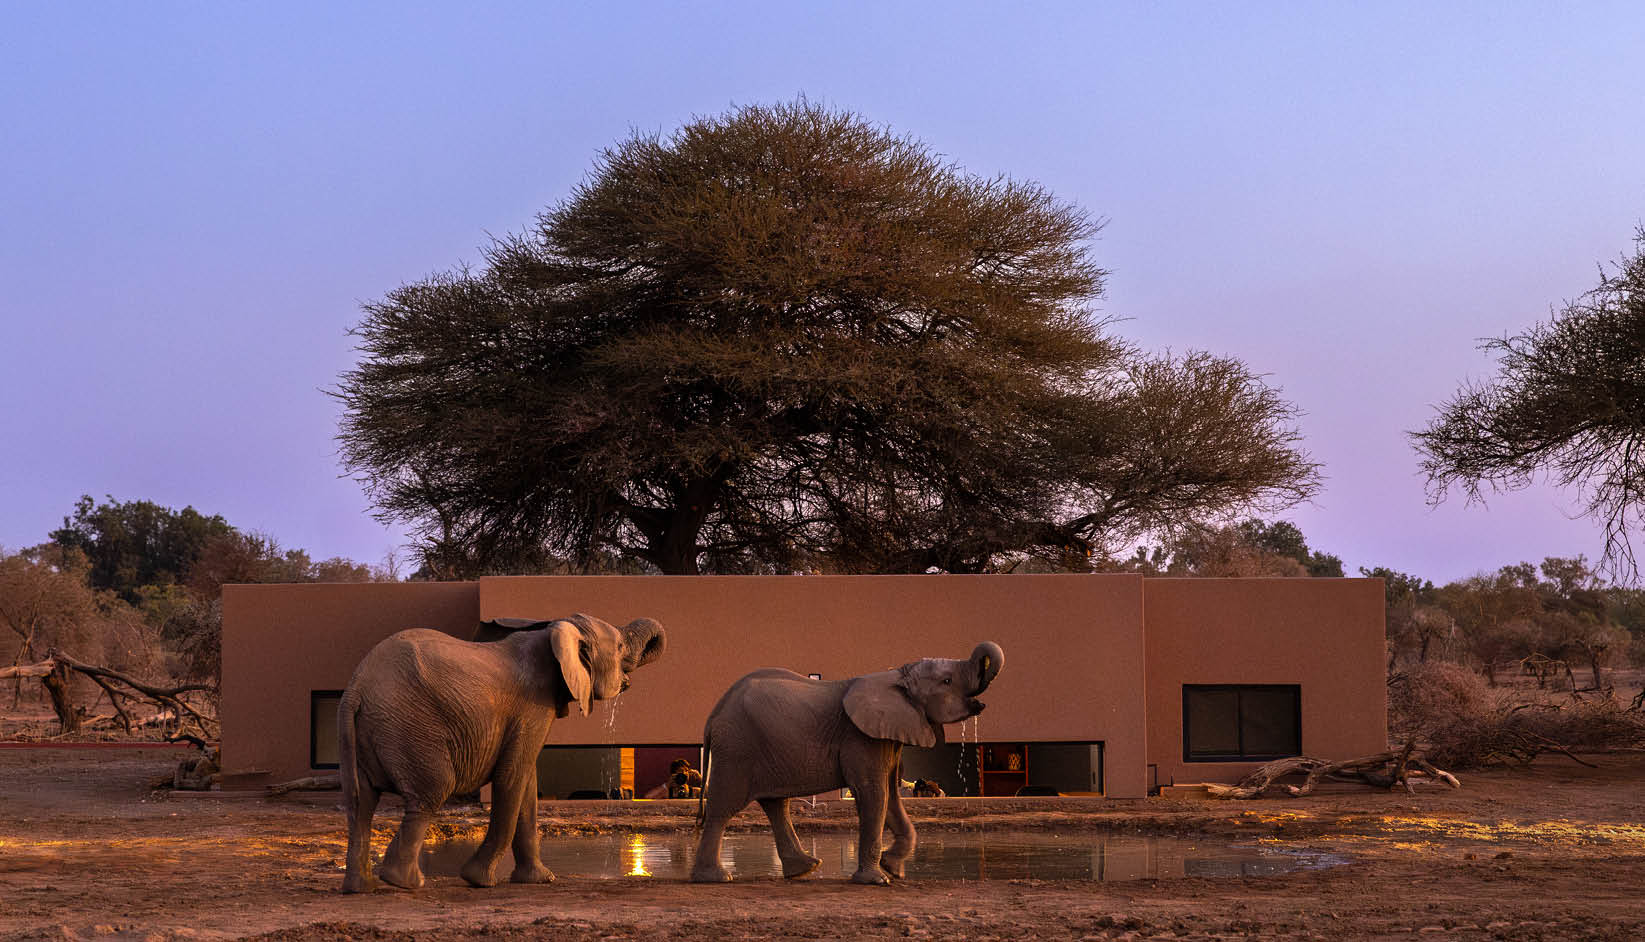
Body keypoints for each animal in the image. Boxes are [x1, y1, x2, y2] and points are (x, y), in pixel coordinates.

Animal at [337, 612, 666, 893]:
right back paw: (405, 882)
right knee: (431, 792)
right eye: (620, 646)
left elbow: (528, 784)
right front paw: (480, 881)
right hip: (411, 725)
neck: (554, 631)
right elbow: (513, 777)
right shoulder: (533, 706)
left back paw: (362, 887)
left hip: (365, 730)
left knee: (360, 802)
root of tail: (356, 687)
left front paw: (540, 880)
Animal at [689, 642, 1003, 885]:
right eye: (947, 681)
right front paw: (878, 880)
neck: (896, 675)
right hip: (737, 748)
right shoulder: (860, 737)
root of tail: (714, 713)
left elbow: (890, 794)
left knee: (776, 804)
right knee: (724, 807)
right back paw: (715, 878)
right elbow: (873, 793)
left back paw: (805, 869)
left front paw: (893, 869)